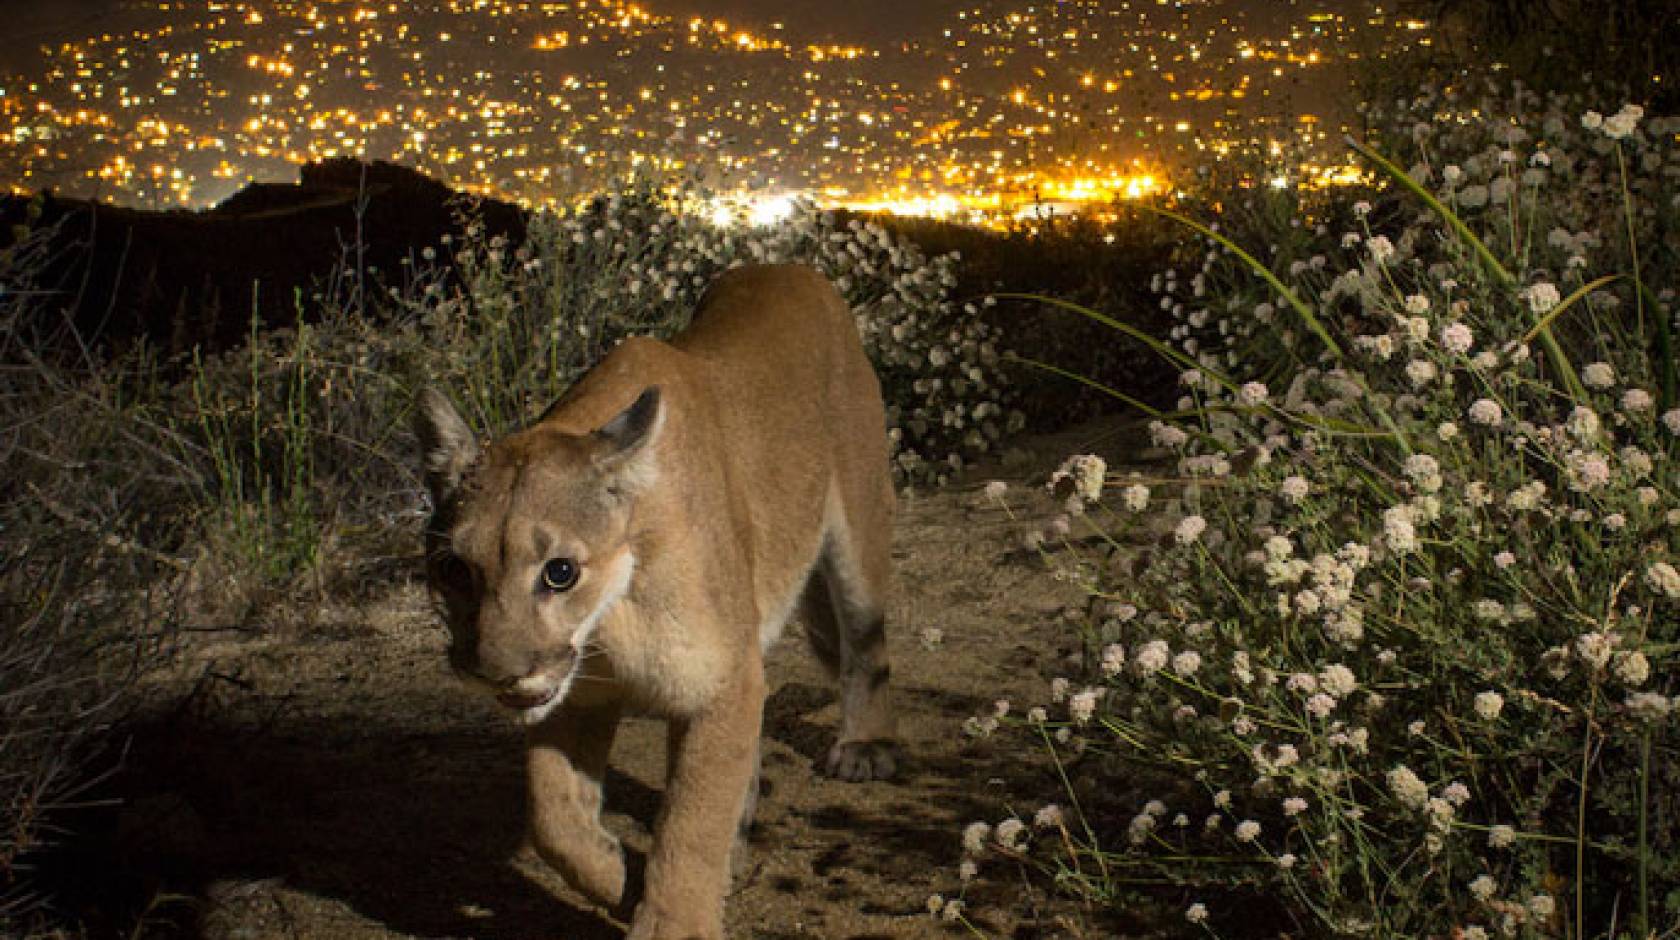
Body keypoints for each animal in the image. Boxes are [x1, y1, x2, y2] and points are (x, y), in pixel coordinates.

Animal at [414, 261, 900, 940]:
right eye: (453, 569)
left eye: (560, 572)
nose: (495, 672)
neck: (611, 616)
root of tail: (787, 266)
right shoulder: (578, 697)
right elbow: (552, 811)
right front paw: (617, 876)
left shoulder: (719, 679)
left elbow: (690, 822)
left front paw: (673, 919)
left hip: (857, 529)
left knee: (865, 644)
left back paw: (864, 749)